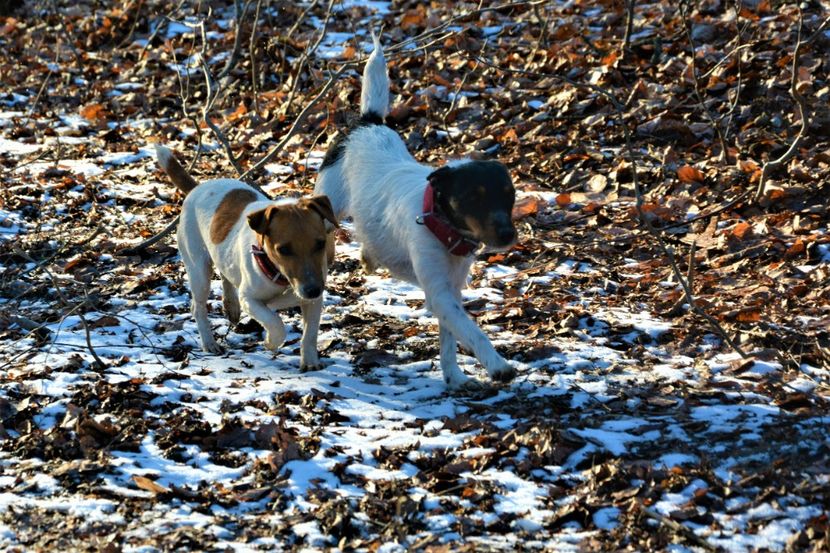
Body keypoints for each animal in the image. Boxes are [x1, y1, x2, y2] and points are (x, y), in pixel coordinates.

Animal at [154, 146, 336, 370]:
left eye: (320, 244)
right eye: (283, 250)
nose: (312, 290)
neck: (280, 277)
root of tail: (197, 188)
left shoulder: (313, 301)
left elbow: (309, 334)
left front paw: (310, 362)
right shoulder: (249, 299)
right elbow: (275, 323)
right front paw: (270, 342)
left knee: (226, 274)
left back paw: (231, 306)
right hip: (198, 268)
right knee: (198, 307)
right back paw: (209, 343)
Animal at [316, 34, 516, 390]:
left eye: (510, 196)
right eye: (474, 197)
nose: (508, 234)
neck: (441, 225)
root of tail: (368, 122)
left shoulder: (449, 290)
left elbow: (450, 339)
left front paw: (454, 376)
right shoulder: (439, 292)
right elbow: (473, 332)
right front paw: (497, 365)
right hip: (326, 205)